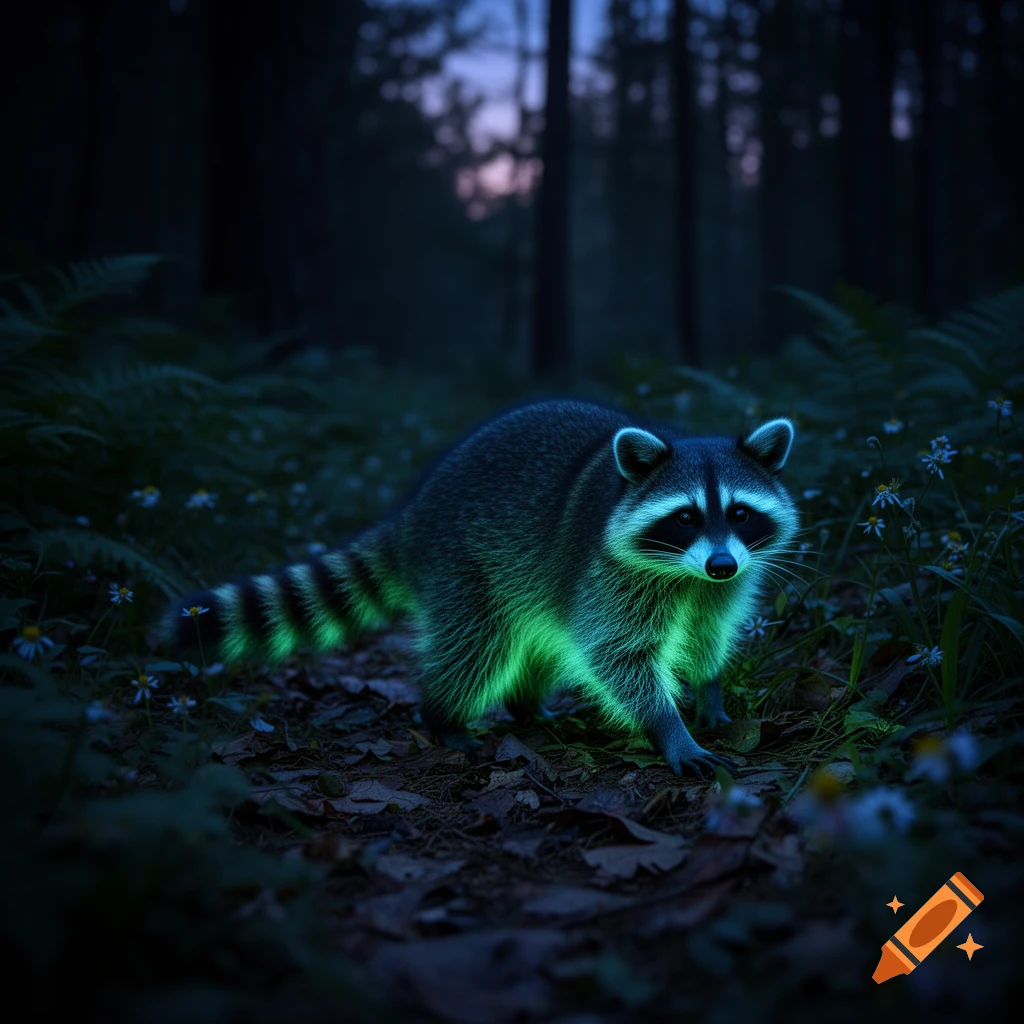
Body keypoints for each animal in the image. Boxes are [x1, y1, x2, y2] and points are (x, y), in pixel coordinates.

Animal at [167, 400, 798, 777]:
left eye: (740, 513)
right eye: (686, 517)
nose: (720, 564)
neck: (686, 575)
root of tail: (414, 511)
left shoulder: (722, 583)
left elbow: (708, 633)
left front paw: (709, 690)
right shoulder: (612, 576)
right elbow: (619, 655)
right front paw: (669, 728)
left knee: (540, 641)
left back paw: (526, 705)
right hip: (466, 565)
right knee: (477, 647)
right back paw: (444, 716)